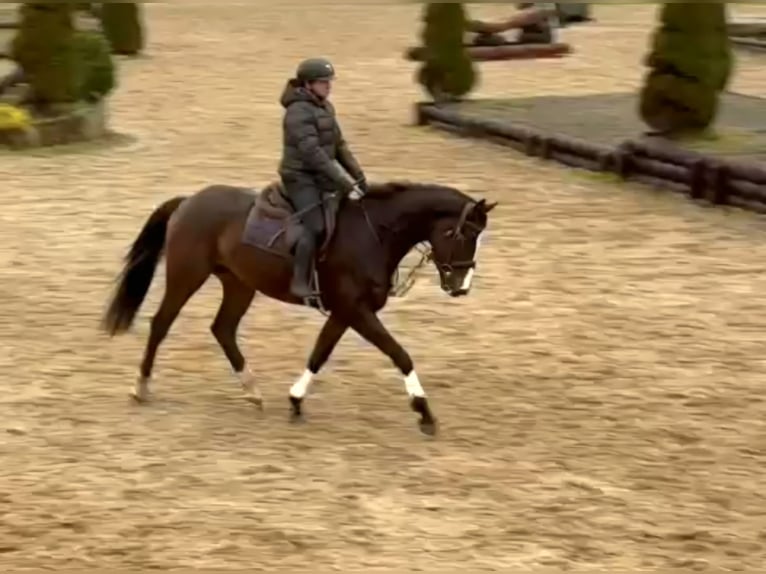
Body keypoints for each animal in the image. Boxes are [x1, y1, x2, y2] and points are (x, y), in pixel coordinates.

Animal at [101, 181, 496, 435]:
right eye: (462, 234)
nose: (461, 286)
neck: (373, 234)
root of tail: (189, 201)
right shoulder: (356, 311)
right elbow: (399, 354)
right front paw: (424, 411)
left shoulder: (345, 312)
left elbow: (319, 353)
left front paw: (295, 400)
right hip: (187, 277)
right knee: (161, 324)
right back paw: (141, 387)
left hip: (239, 284)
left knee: (222, 329)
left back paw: (252, 390)